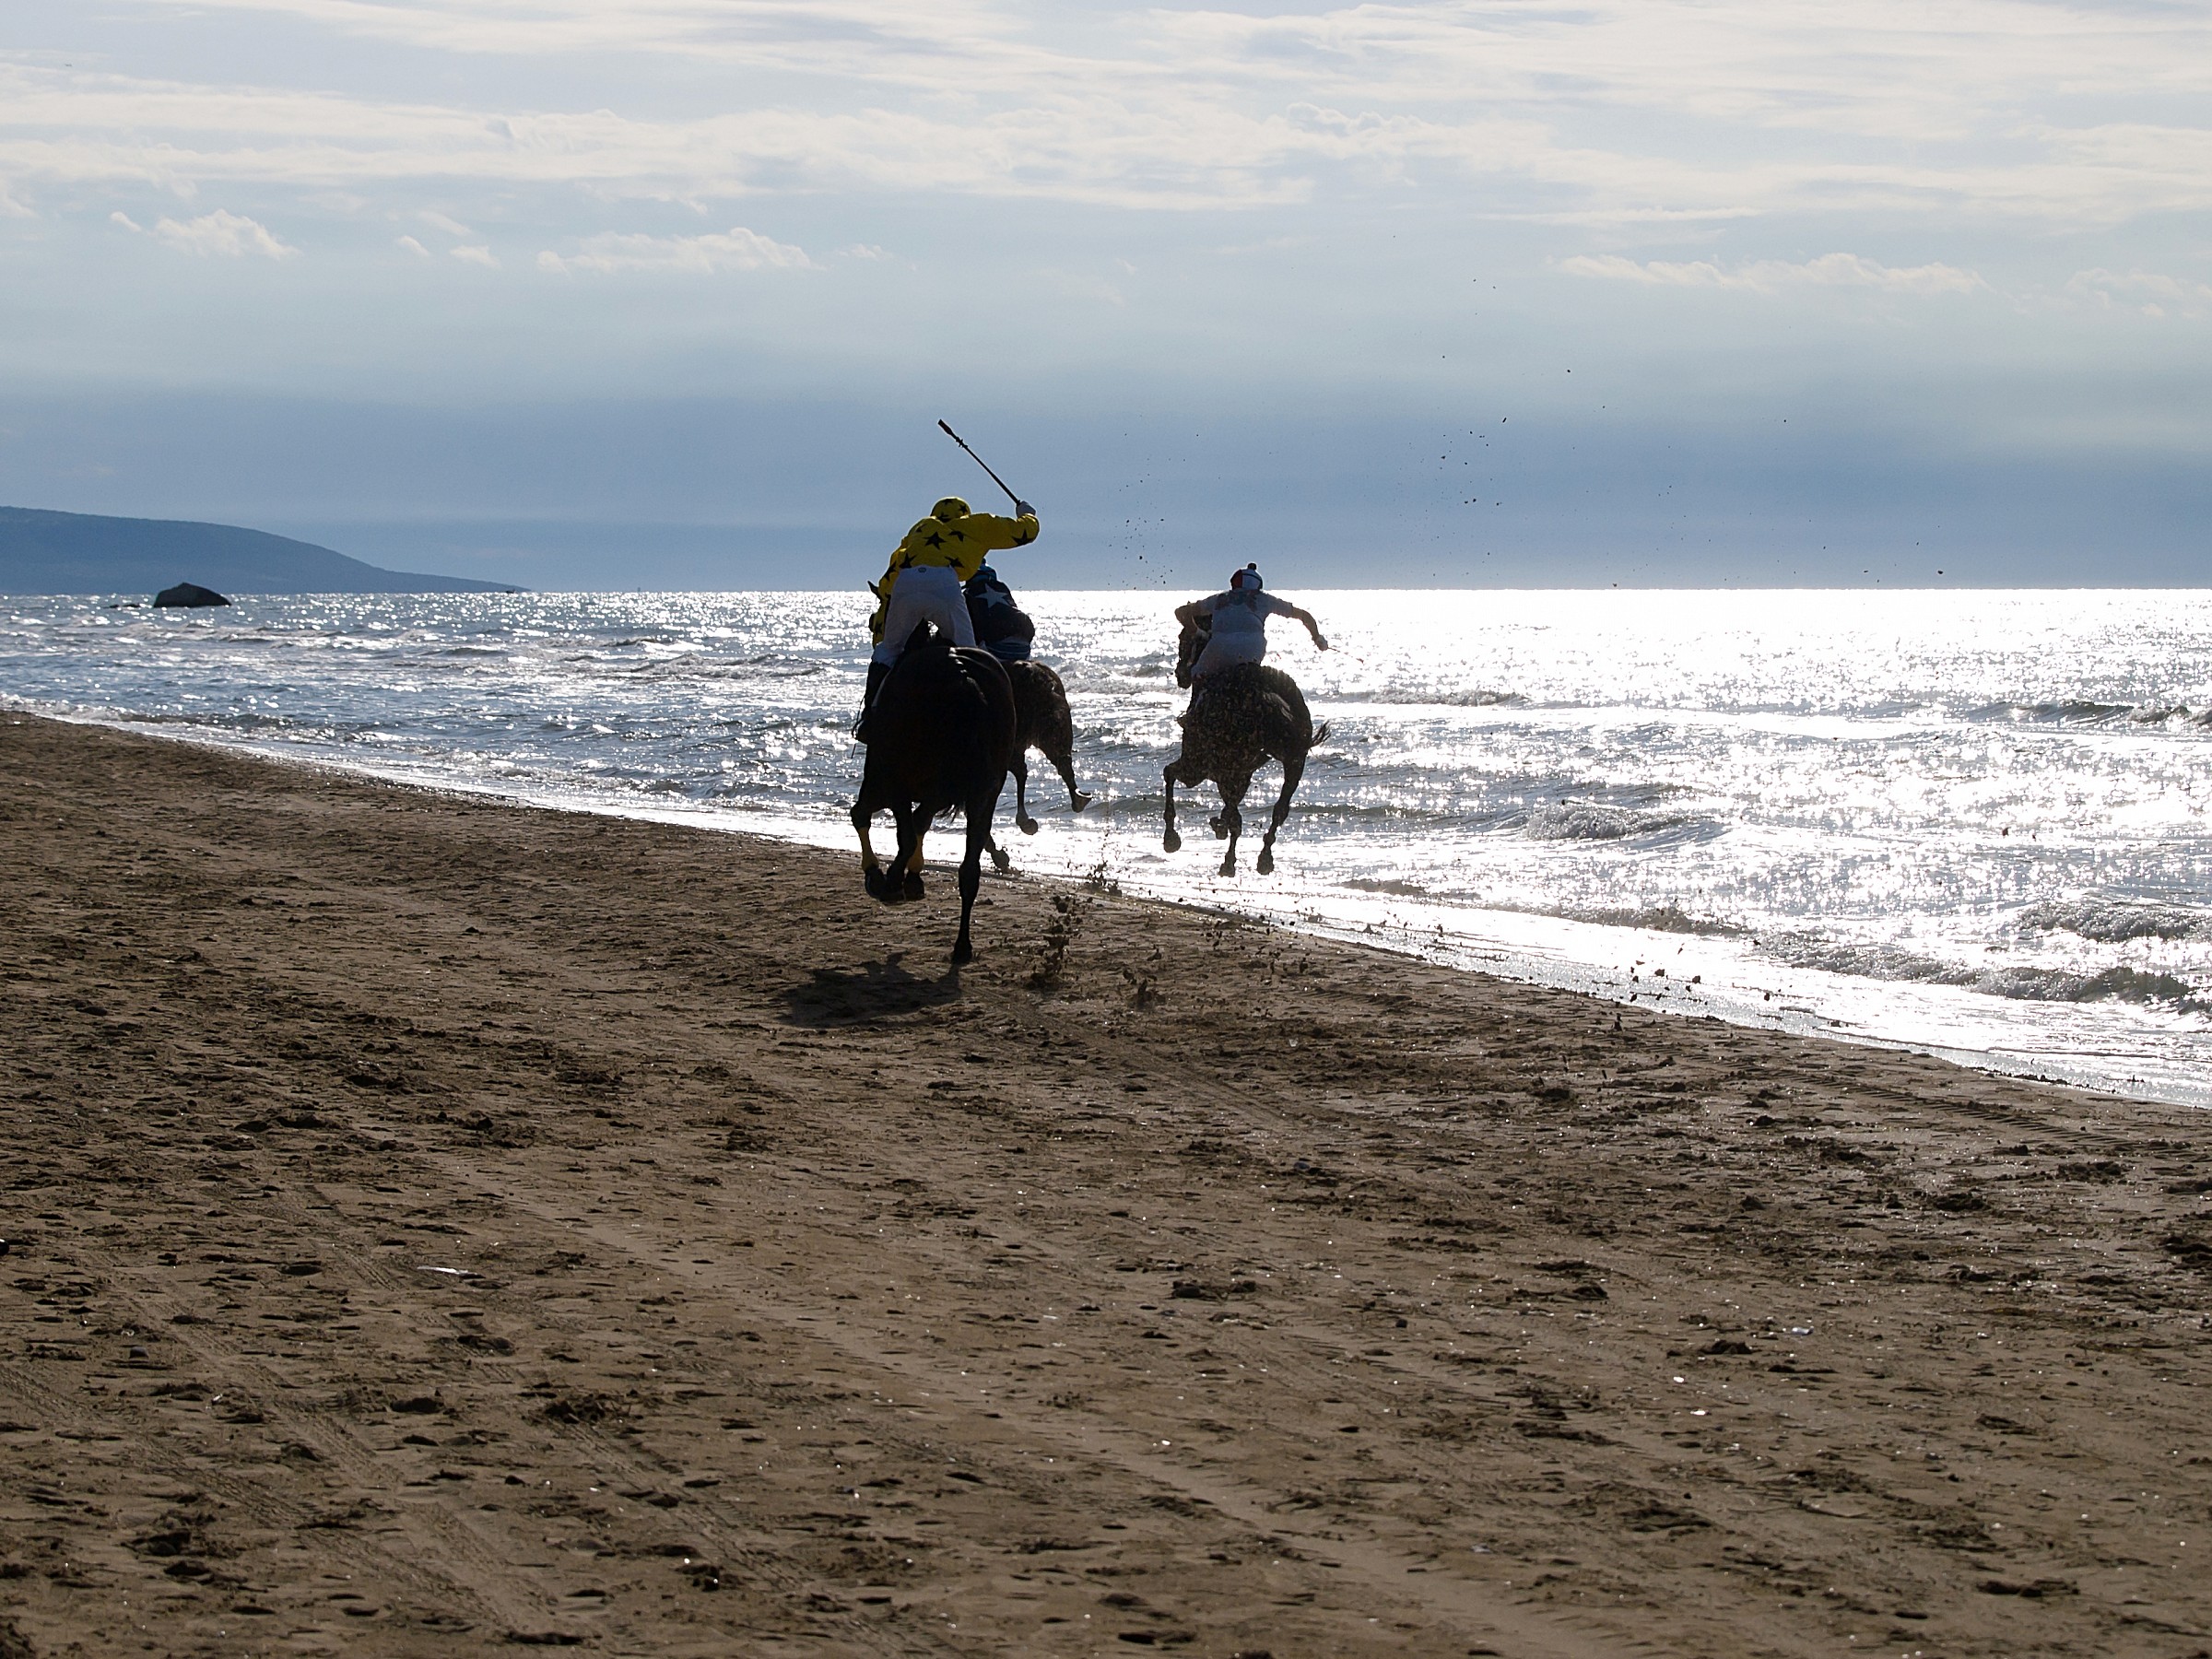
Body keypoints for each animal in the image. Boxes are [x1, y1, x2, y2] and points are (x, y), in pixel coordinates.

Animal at [850, 623, 1019, 965]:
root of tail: (963, 676)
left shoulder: (886, 782)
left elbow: (867, 816)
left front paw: (880, 876)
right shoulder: (938, 792)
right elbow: (920, 823)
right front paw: (911, 877)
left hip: (902, 777)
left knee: (903, 831)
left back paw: (891, 882)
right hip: (984, 792)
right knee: (970, 870)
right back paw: (962, 945)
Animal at [1162, 617, 1327, 877]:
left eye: (1183, 640)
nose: (1180, 674)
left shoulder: (1201, 767)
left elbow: (1170, 773)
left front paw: (1172, 837)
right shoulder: (1239, 772)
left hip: (1217, 764)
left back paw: (1231, 856)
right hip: (1294, 761)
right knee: (1280, 809)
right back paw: (1263, 857)